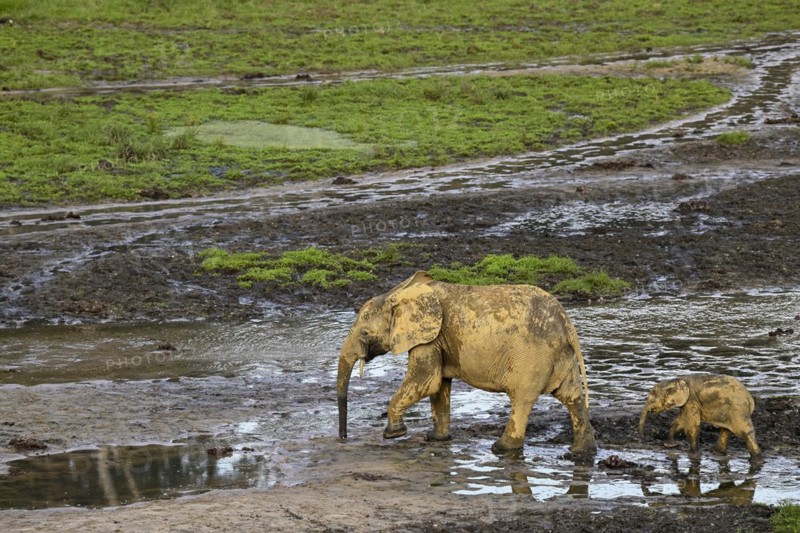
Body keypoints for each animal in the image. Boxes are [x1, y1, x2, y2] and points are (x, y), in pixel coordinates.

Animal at [336, 271, 597, 455]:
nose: (343, 438)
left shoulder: (429, 338)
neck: (398, 294)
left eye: (365, 333)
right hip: (559, 355)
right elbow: (438, 386)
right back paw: (581, 452)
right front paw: (435, 439)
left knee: (522, 399)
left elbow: (425, 381)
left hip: (533, 357)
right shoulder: (438, 340)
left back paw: (501, 449)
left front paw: (393, 434)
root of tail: (567, 324)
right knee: (571, 396)